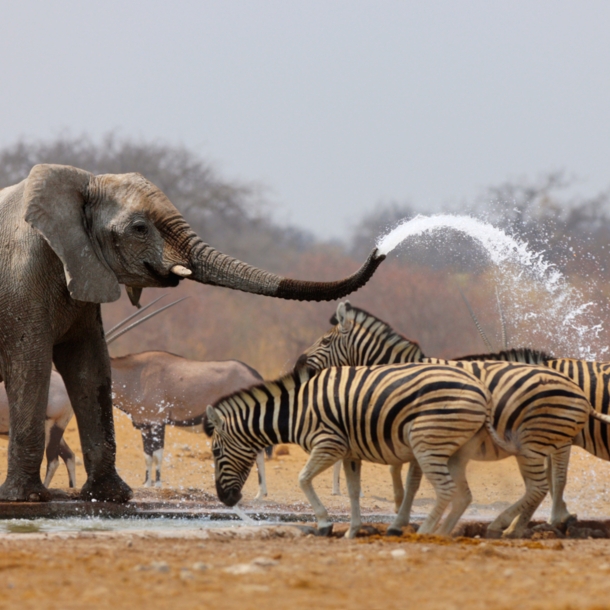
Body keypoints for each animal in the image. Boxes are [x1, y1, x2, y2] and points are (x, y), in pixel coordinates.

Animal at [0, 164, 382, 502]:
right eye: (140, 228)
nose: (379, 252)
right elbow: (49, 368)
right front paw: (33, 496)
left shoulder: (152, 418)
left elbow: (88, 370)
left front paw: (114, 493)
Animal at [202, 360, 492, 536]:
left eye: (215, 453)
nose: (226, 500)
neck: (297, 411)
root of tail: (481, 389)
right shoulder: (351, 453)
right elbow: (353, 491)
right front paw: (353, 531)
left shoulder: (329, 444)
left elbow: (303, 479)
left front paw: (325, 523)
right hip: (452, 449)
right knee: (461, 494)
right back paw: (440, 532)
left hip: (427, 443)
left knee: (446, 489)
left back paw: (424, 533)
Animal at [296, 302, 604, 536]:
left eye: (325, 341)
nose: (299, 362)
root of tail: (576, 391)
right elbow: (401, 471)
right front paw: (400, 511)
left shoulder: (419, 430)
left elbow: (411, 479)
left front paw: (400, 520)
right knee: (547, 481)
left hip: (537, 440)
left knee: (550, 480)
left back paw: (525, 523)